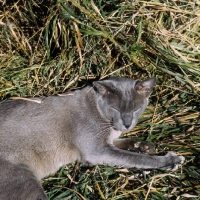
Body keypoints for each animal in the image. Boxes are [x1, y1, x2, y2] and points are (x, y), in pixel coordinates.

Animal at [0, 77, 184, 200]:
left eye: (136, 109)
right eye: (115, 108)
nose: (127, 123)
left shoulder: (108, 142)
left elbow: (126, 144)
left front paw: (145, 146)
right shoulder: (97, 150)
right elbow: (136, 159)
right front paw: (171, 160)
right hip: (25, 182)